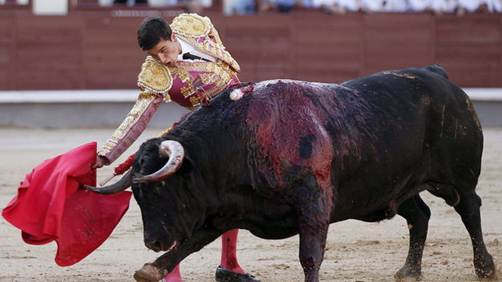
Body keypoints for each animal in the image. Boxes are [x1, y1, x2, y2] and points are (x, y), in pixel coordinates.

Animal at [92, 65, 496, 280]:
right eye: (137, 195)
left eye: (161, 189)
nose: (152, 241)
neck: (238, 141)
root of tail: (439, 76)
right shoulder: (225, 210)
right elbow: (191, 244)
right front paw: (153, 268)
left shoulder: (313, 203)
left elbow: (310, 255)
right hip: (392, 186)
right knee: (420, 215)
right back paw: (409, 271)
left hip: (457, 178)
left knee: (470, 209)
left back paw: (485, 267)